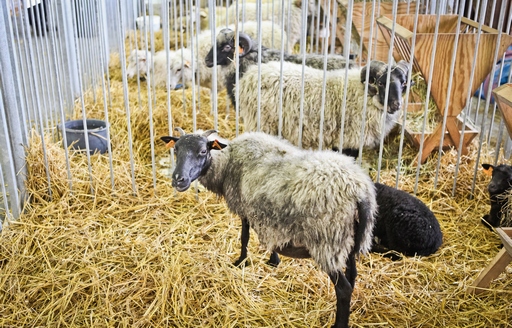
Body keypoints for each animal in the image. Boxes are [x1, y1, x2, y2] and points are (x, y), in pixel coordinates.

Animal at [160, 128, 376, 328]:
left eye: (203, 151)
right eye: (176, 150)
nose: (178, 179)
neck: (227, 161)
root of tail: (360, 190)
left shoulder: (244, 207)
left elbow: (244, 237)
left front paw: (240, 262)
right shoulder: (267, 216)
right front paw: (273, 260)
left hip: (327, 241)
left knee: (343, 289)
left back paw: (339, 323)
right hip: (349, 238)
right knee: (352, 275)